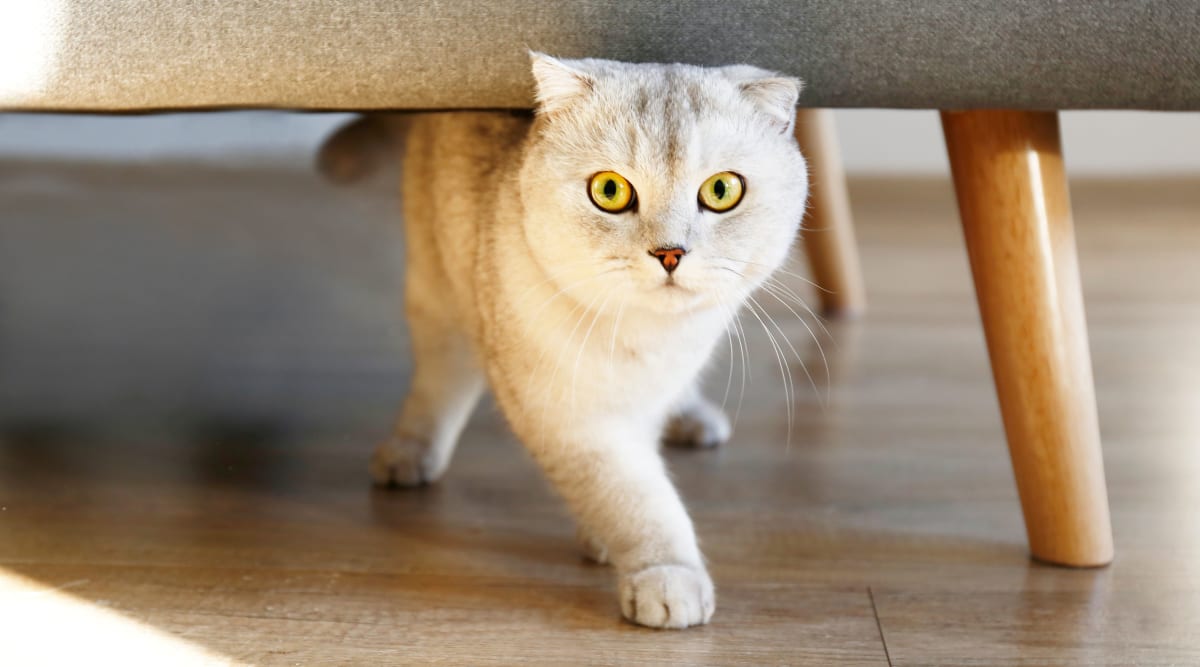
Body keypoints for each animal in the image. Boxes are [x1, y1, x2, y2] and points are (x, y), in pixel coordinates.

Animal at [319, 53, 806, 628]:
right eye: (611, 191)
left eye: (721, 191)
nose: (670, 253)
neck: (651, 341)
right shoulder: (570, 418)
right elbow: (634, 496)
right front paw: (665, 574)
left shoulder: (646, 396)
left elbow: (633, 479)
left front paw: (606, 539)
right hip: (438, 292)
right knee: (439, 383)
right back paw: (409, 455)